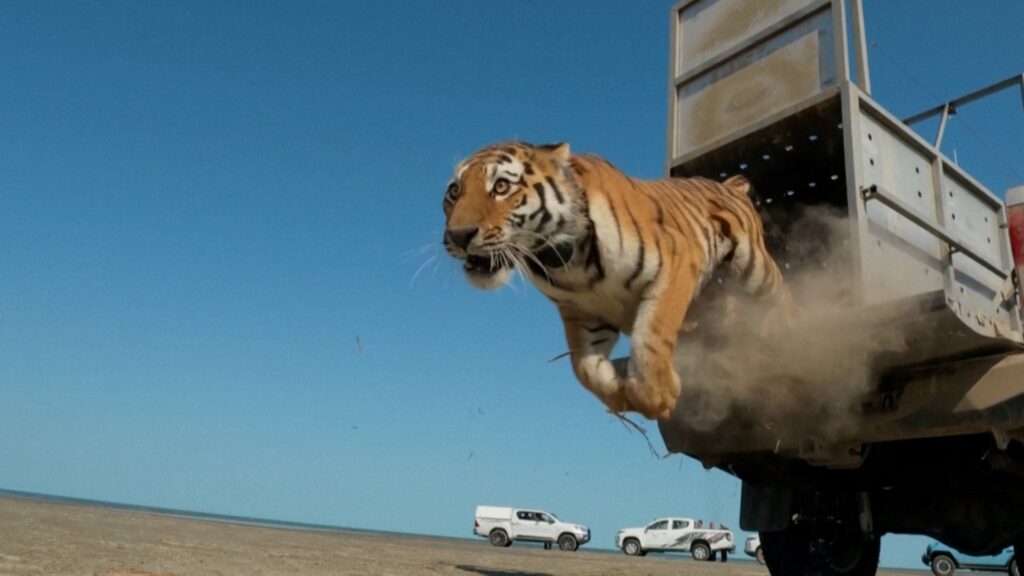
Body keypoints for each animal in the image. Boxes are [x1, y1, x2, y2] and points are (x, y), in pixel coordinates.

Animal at [442, 141, 790, 420]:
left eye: (501, 187)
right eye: (454, 192)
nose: (458, 236)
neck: (564, 259)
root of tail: (730, 184)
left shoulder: (675, 263)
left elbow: (650, 337)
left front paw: (659, 397)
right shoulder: (581, 312)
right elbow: (584, 369)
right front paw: (619, 392)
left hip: (754, 268)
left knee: (780, 294)